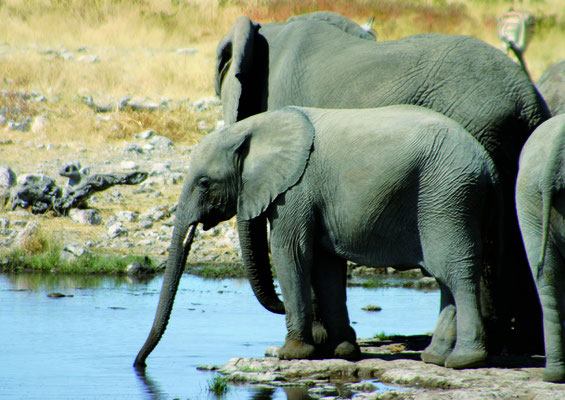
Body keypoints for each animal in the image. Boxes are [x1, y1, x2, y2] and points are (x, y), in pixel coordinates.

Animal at [134, 104, 500, 370]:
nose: (139, 365)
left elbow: (291, 252)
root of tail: (487, 163)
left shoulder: (295, 190)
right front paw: (342, 350)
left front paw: (289, 354)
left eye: (204, 183)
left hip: (447, 195)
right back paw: (434, 358)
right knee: (443, 275)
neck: (255, 126)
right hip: (450, 196)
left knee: (454, 270)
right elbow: (325, 264)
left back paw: (463, 361)